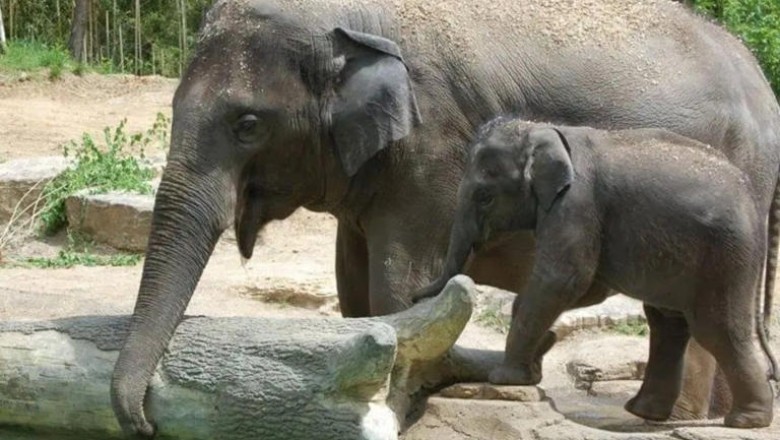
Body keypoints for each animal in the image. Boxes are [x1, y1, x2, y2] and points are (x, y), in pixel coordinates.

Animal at [411, 119, 779, 428]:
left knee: (716, 329)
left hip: (726, 255)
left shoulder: (576, 205)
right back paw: (645, 412)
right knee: (668, 324)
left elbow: (564, 280)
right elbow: (586, 287)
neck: (543, 130)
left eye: (485, 196)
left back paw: (745, 421)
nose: (414, 296)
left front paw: (505, 378)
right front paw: (535, 361)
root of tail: (751, 195)